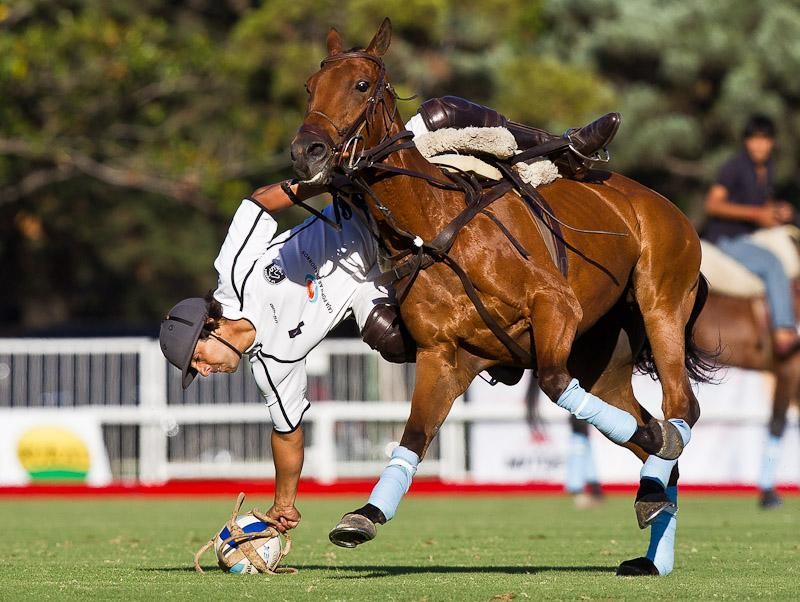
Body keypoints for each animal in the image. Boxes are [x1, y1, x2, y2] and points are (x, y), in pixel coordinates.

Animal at [292, 16, 712, 576]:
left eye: (360, 85)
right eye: (309, 87)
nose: (306, 152)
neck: (432, 229)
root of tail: (664, 204)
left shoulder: (555, 306)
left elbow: (554, 382)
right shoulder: (443, 355)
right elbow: (414, 436)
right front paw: (364, 516)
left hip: (661, 300)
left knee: (680, 406)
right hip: (604, 362)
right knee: (645, 425)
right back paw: (653, 528)